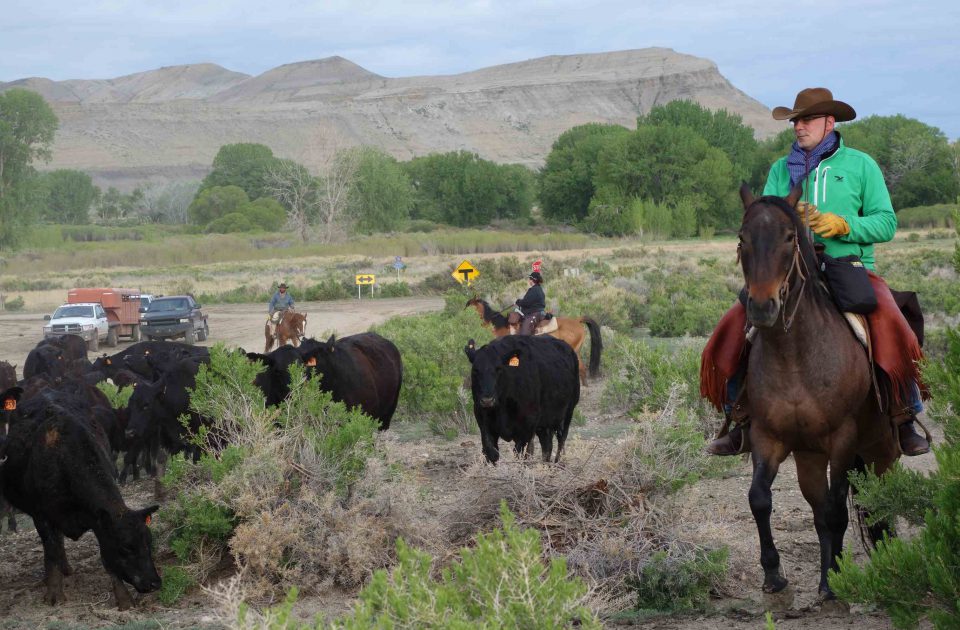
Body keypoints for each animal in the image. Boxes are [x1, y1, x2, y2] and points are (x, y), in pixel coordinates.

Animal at [0, 388, 159, 608]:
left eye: (148, 542)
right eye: (125, 547)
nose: (153, 583)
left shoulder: (97, 520)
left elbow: (107, 561)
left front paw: (123, 599)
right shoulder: (42, 517)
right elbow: (52, 551)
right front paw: (54, 594)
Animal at [464, 338, 576, 466]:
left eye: (498, 368)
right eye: (475, 370)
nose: (487, 400)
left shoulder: (527, 425)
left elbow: (518, 451)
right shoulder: (483, 419)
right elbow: (490, 450)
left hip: (568, 413)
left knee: (561, 440)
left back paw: (557, 463)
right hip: (545, 423)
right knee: (547, 445)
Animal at [736, 185, 900, 604]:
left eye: (789, 237)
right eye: (742, 239)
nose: (762, 306)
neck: (795, 357)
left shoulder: (842, 439)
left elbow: (838, 511)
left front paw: (835, 578)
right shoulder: (768, 436)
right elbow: (760, 498)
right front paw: (774, 573)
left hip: (881, 450)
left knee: (878, 502)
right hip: (809, 457)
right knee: (820, 509)